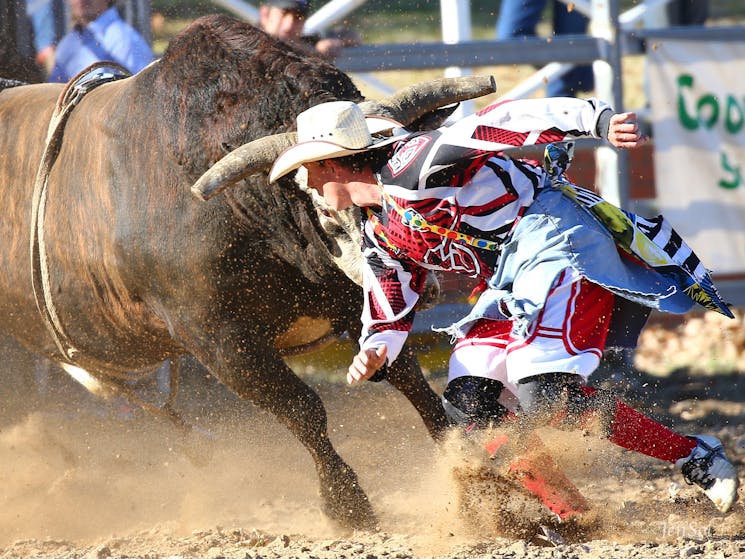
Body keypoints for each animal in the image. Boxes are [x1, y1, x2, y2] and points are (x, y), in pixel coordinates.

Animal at [0, 13, 494, 528]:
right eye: (329, 206)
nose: (418, 273)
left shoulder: (350, 301)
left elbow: (408, 377)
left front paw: (466, 468)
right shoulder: (220, 341)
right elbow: (303, 410)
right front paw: (346, 503)